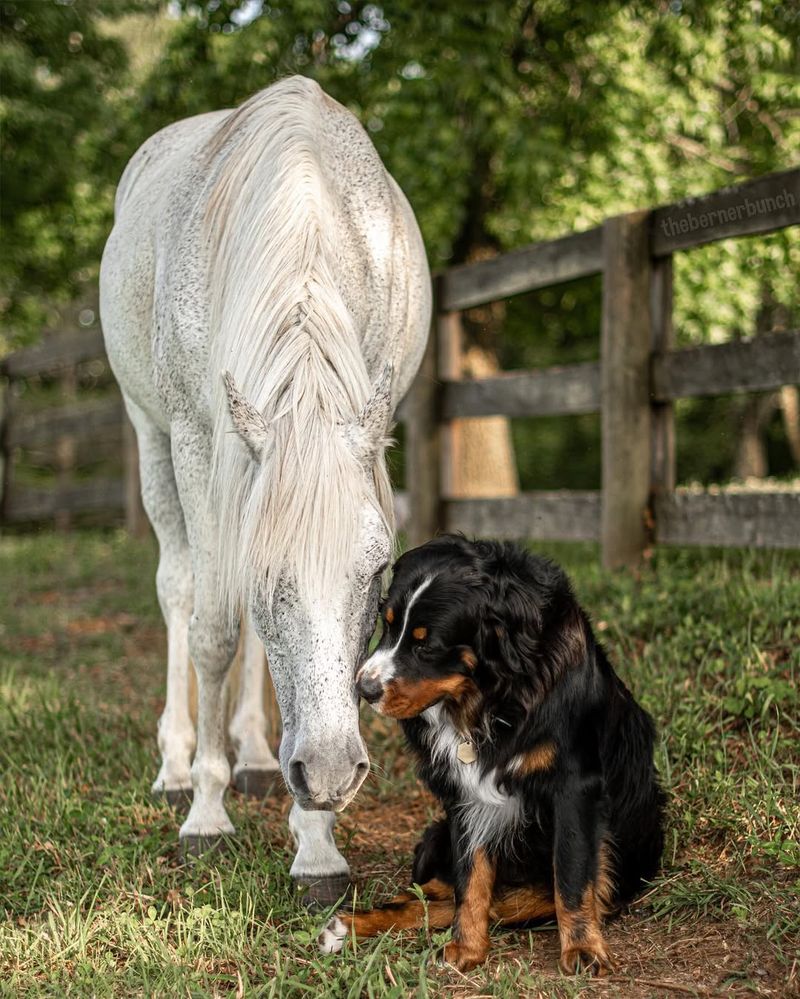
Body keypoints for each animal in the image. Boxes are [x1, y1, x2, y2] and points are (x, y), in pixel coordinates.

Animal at [100, 76, 432, 908]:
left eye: (377, 571)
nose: (330, 772)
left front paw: (316, 844)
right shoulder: (196, 437)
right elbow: (215, 626)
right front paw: (206, 812)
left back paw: (252, 751)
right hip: (153, 441)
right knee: (179, 589)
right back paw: (179, 766)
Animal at [318, 540, 664, 976]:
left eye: (426, 645)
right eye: (387, 624)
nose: (363, 690)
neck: (492, 698)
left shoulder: (573, 786)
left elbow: (570, 876)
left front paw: (583, 949)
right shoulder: (466, 796)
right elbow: (472, 879)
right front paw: (467, 948)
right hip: (435, 836)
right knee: (436, 893)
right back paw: (351, 925)